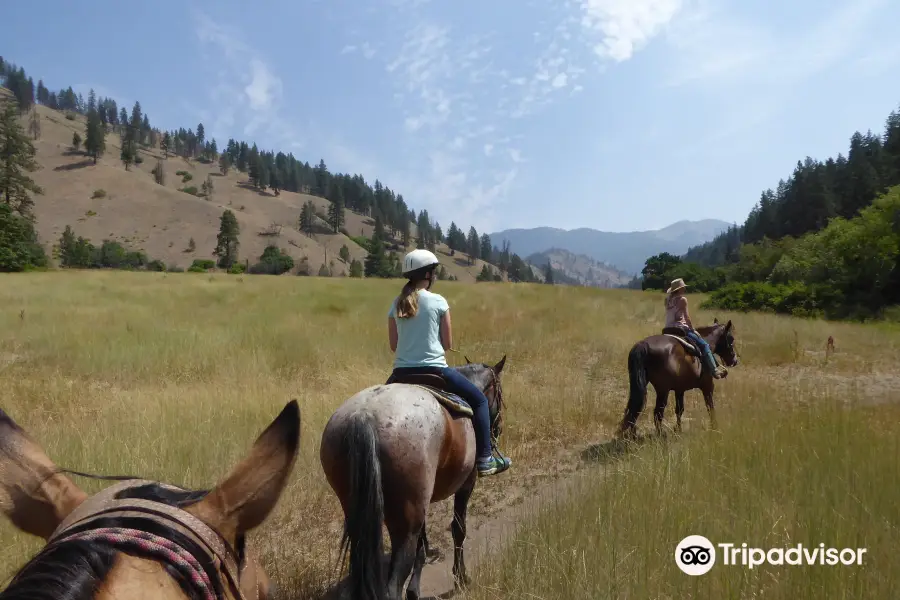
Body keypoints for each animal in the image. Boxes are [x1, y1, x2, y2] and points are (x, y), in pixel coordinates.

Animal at [320, 356, 510, 600]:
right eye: (499, 393)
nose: (499, 428)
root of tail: (364, 416)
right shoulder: (466, 484)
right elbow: (458, 530)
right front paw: (461, 578)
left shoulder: (422, 501)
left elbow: (423, 542)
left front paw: (414, 589)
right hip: (406, 522)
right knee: (393, 584)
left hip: (363, 515)